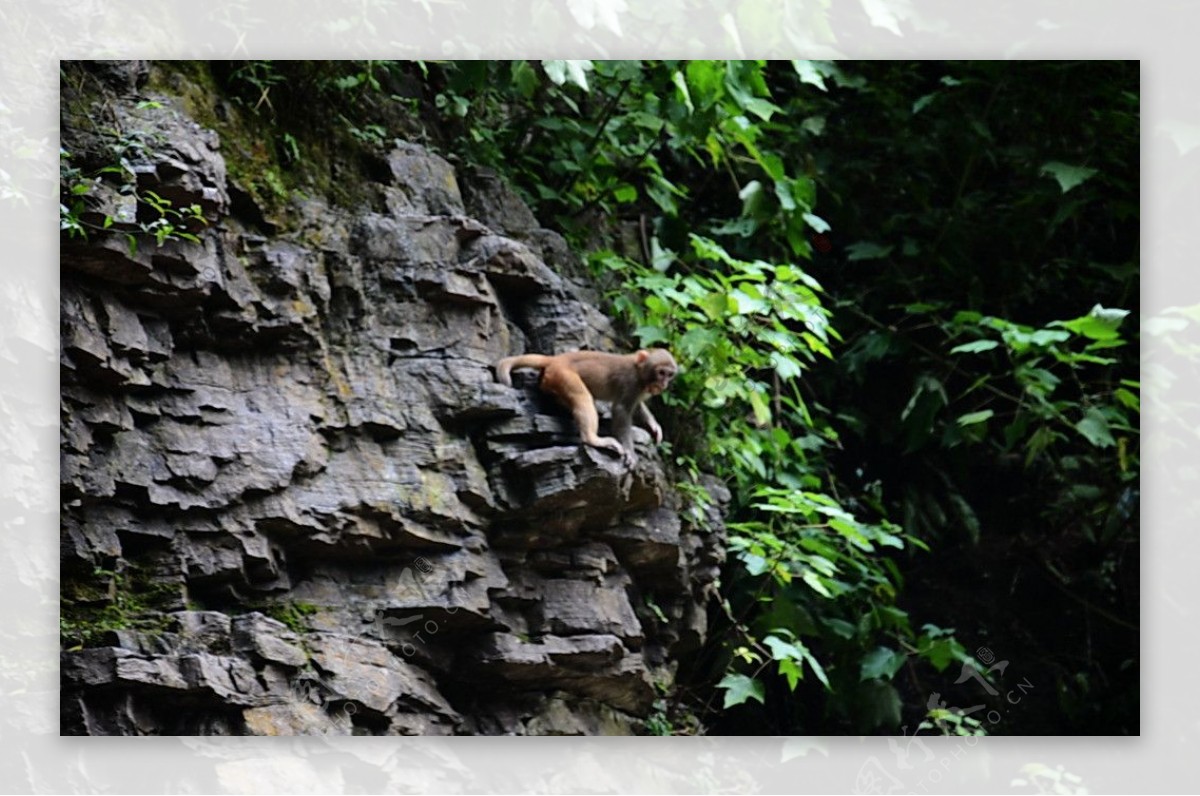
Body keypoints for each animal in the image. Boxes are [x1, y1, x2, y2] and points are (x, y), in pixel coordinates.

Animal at [494, 348, 681, 461]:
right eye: (661, 372)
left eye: (669, 374)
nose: (663, 384)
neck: (640, 372)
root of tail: (555, 359)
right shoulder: (631, 383)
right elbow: (621, 410)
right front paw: (630, 452)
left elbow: (637, 406)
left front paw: (654, 426)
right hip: (563, 374)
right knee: (583, 397)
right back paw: (593, 439)